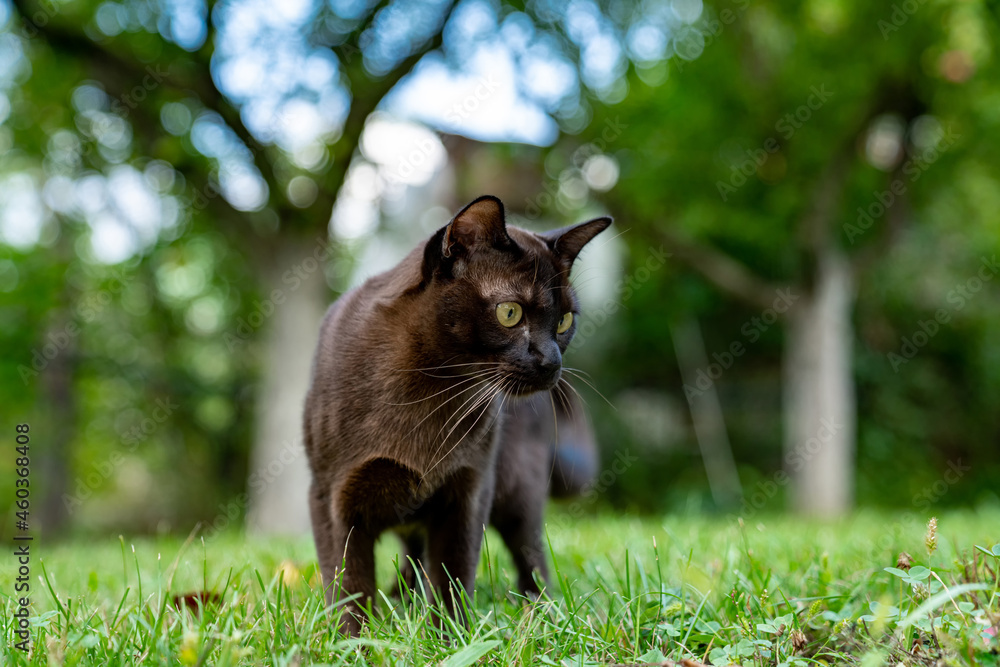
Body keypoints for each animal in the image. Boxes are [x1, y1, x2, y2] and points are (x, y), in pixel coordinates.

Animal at [300, 194, 608, 636]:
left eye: (565, 320)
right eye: (510, 313)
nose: (552, 362)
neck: (430, 391)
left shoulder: (467, 491)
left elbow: (452, 576)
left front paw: (450, 638)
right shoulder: (332, 496)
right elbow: (349, 584)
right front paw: (354, 642)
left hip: (517, 492)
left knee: (531, 557)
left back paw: (543, 615)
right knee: (412, 558)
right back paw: (401, 602)